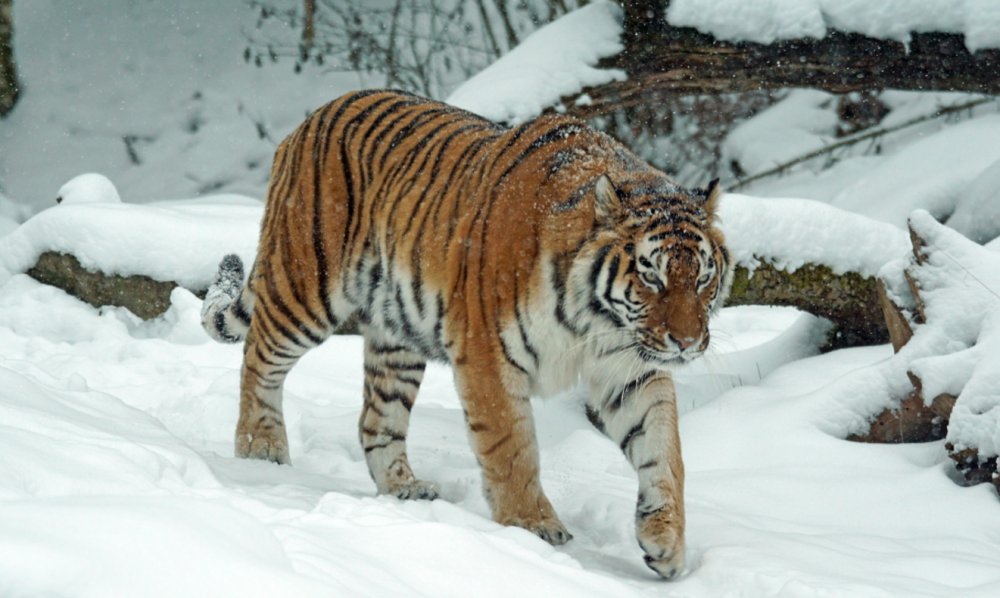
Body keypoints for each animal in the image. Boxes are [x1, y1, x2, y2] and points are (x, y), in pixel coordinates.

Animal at [203, 90, 736, 580]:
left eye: (702, 278)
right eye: (652, 277)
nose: (688, 343)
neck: (597, 321)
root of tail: (312, 117)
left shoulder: (631, 368)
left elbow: (664, 451)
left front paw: (666, 541)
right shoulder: (487, 354)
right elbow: (512, 448)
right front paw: (532, 528)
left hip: (396, 337)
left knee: (376, 419)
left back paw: (404, 489)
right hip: (305, 285)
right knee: (258, 358)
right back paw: (259, 449)